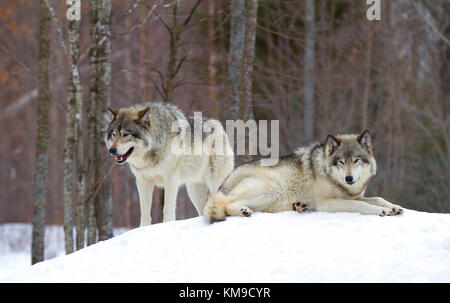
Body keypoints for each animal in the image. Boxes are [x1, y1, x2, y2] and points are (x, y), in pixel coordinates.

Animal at [103, 102, 234, 226]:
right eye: (113, 134)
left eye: (126, 134)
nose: (112, 150)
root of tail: (219, 126)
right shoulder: (142, 181)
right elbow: (145, 213)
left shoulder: (171, 179)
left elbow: (167, 209)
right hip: (193, 191)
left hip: (214, 183)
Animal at [204, 128, 404, 223]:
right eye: (341, 162)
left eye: (356, 160)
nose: (349, 178)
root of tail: (222, 183)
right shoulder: (328, 203)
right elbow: (362, 206)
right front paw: (382, 211)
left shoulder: (355, 195)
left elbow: (377, 198)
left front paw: (394, 207)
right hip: (271, 188)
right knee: (227, 205)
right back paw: (243, 211)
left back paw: (300, 206)